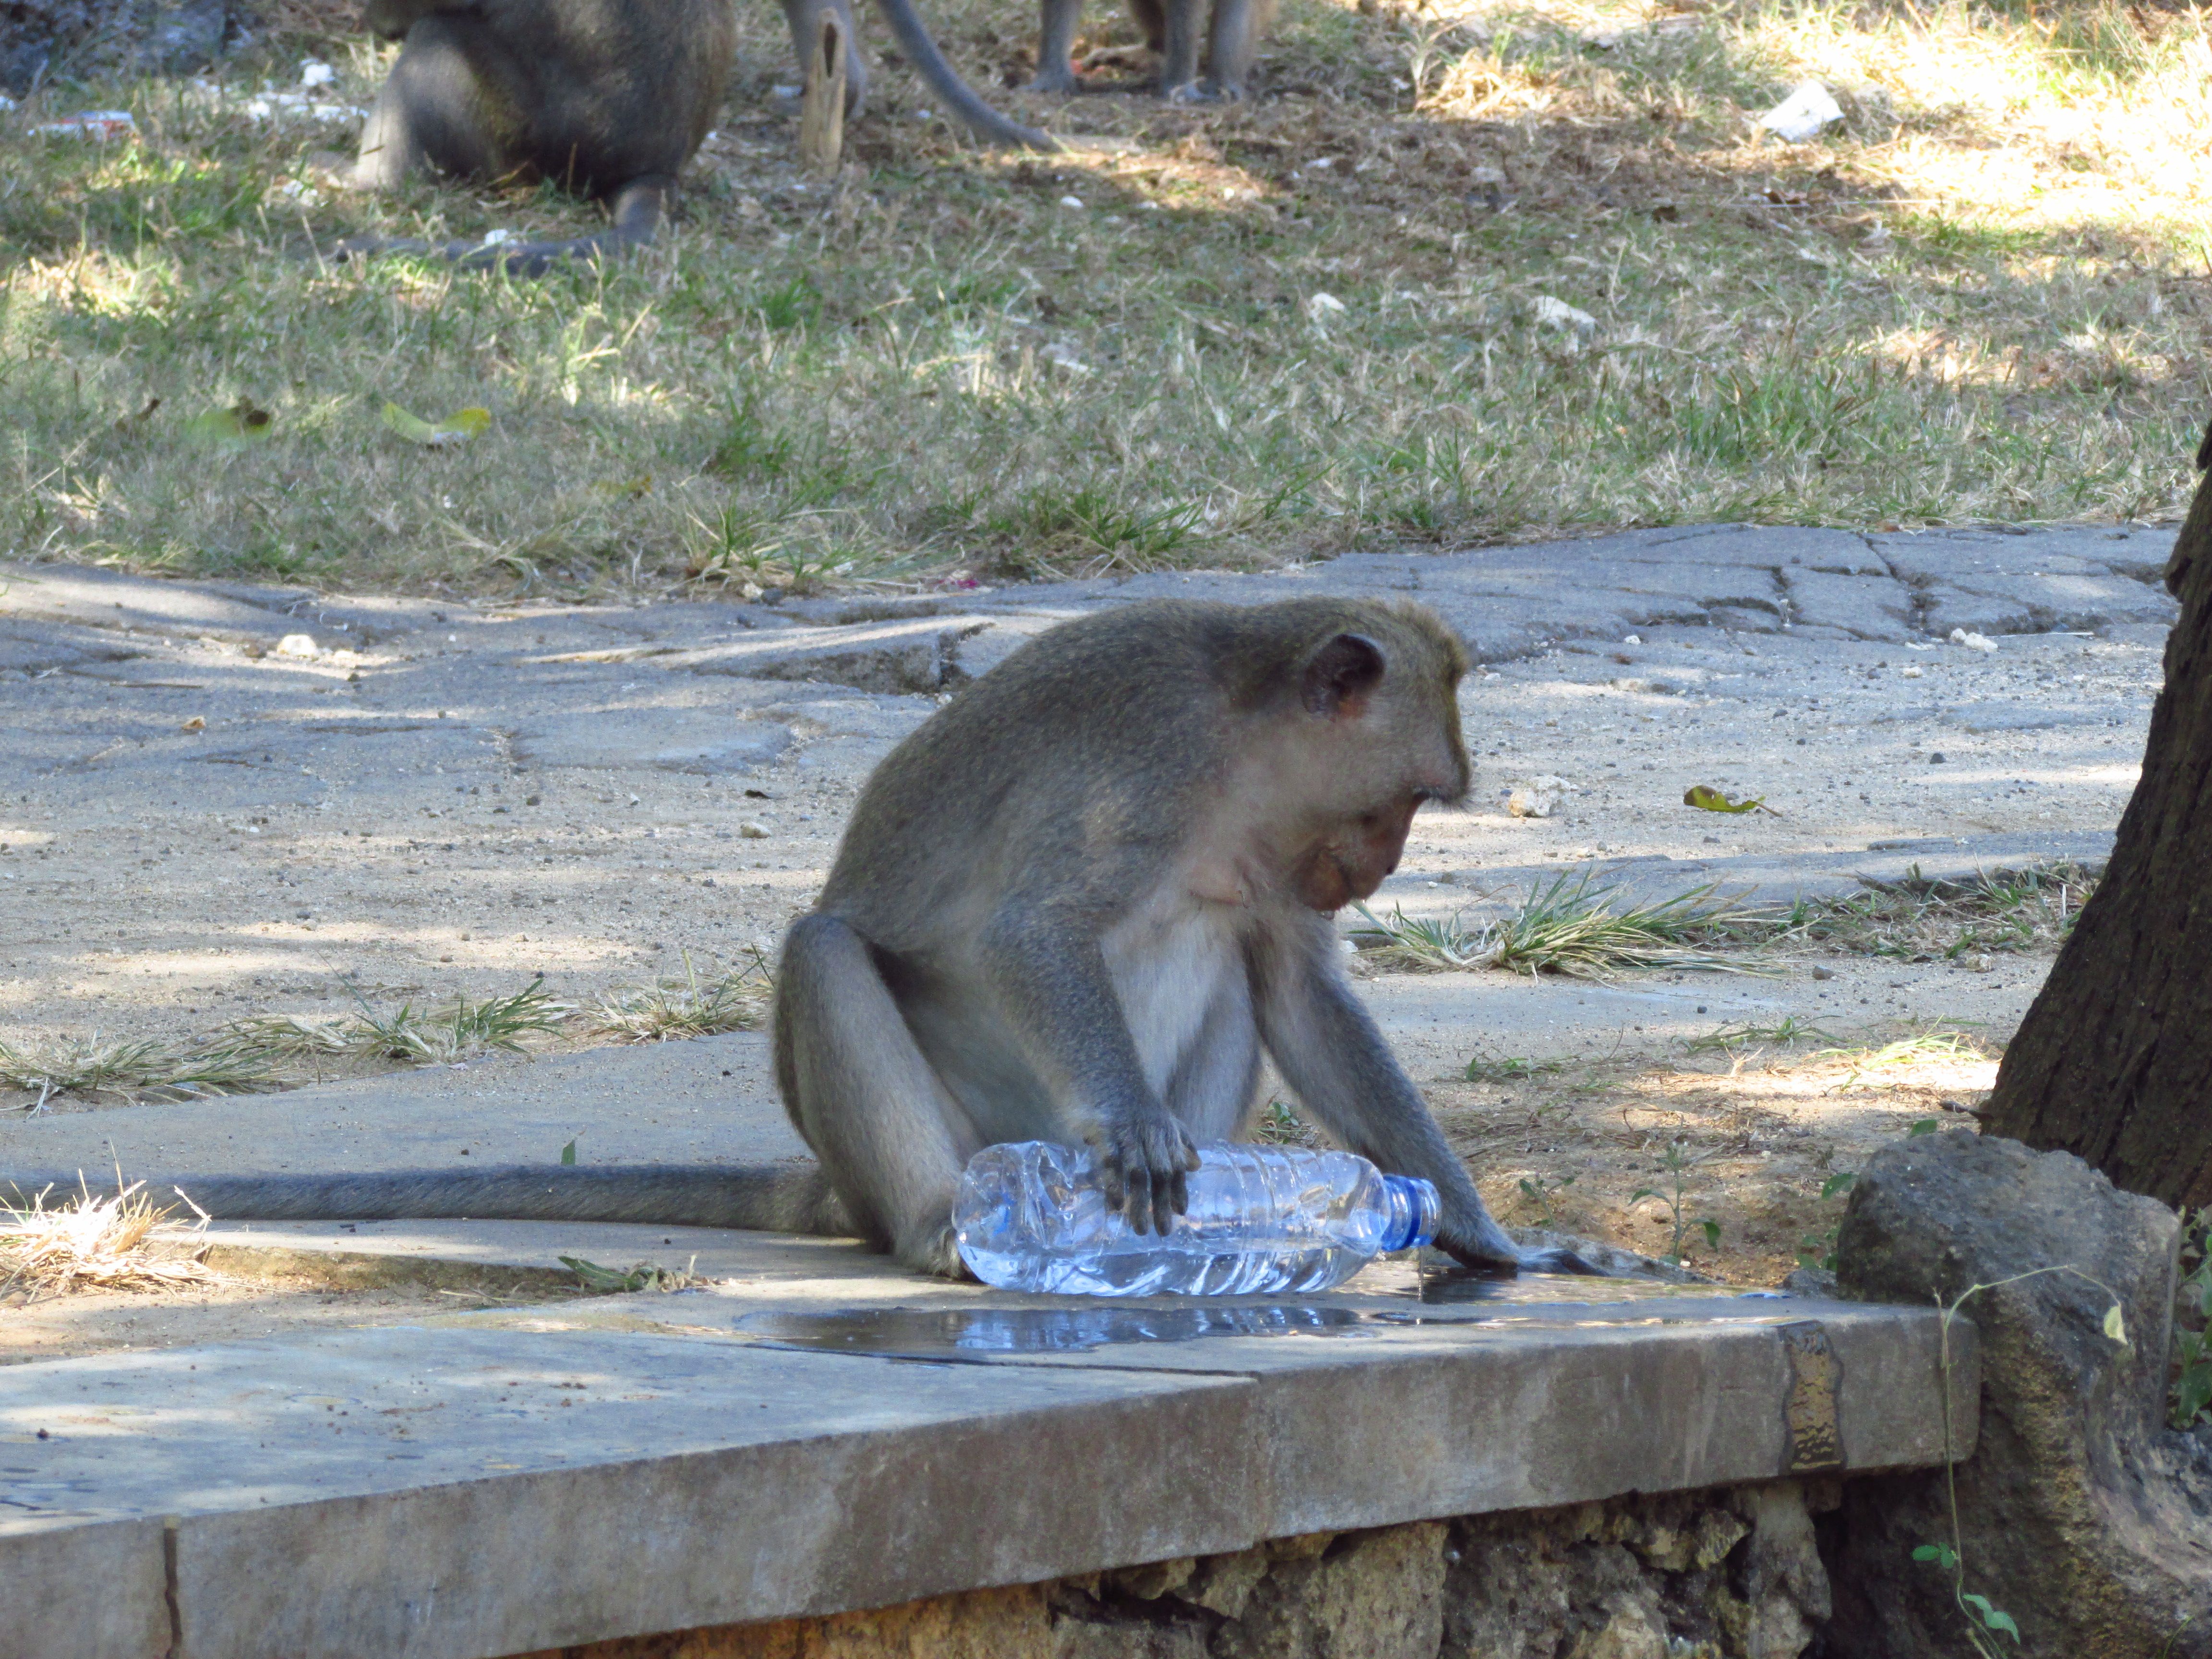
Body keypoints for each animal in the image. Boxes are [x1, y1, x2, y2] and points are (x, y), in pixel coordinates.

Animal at [7, 599, 1588, 1282]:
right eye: (1404, 800)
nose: (1384, 866)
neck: (1242, 754)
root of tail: (850, 1185)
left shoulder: (1268, 865)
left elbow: (1303, 997)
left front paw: (1476, 1228)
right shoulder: (1146, 770)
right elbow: (1030, 928)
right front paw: (1127, 1127)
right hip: (929, 1127)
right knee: (826, 952)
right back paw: (955, 1229)